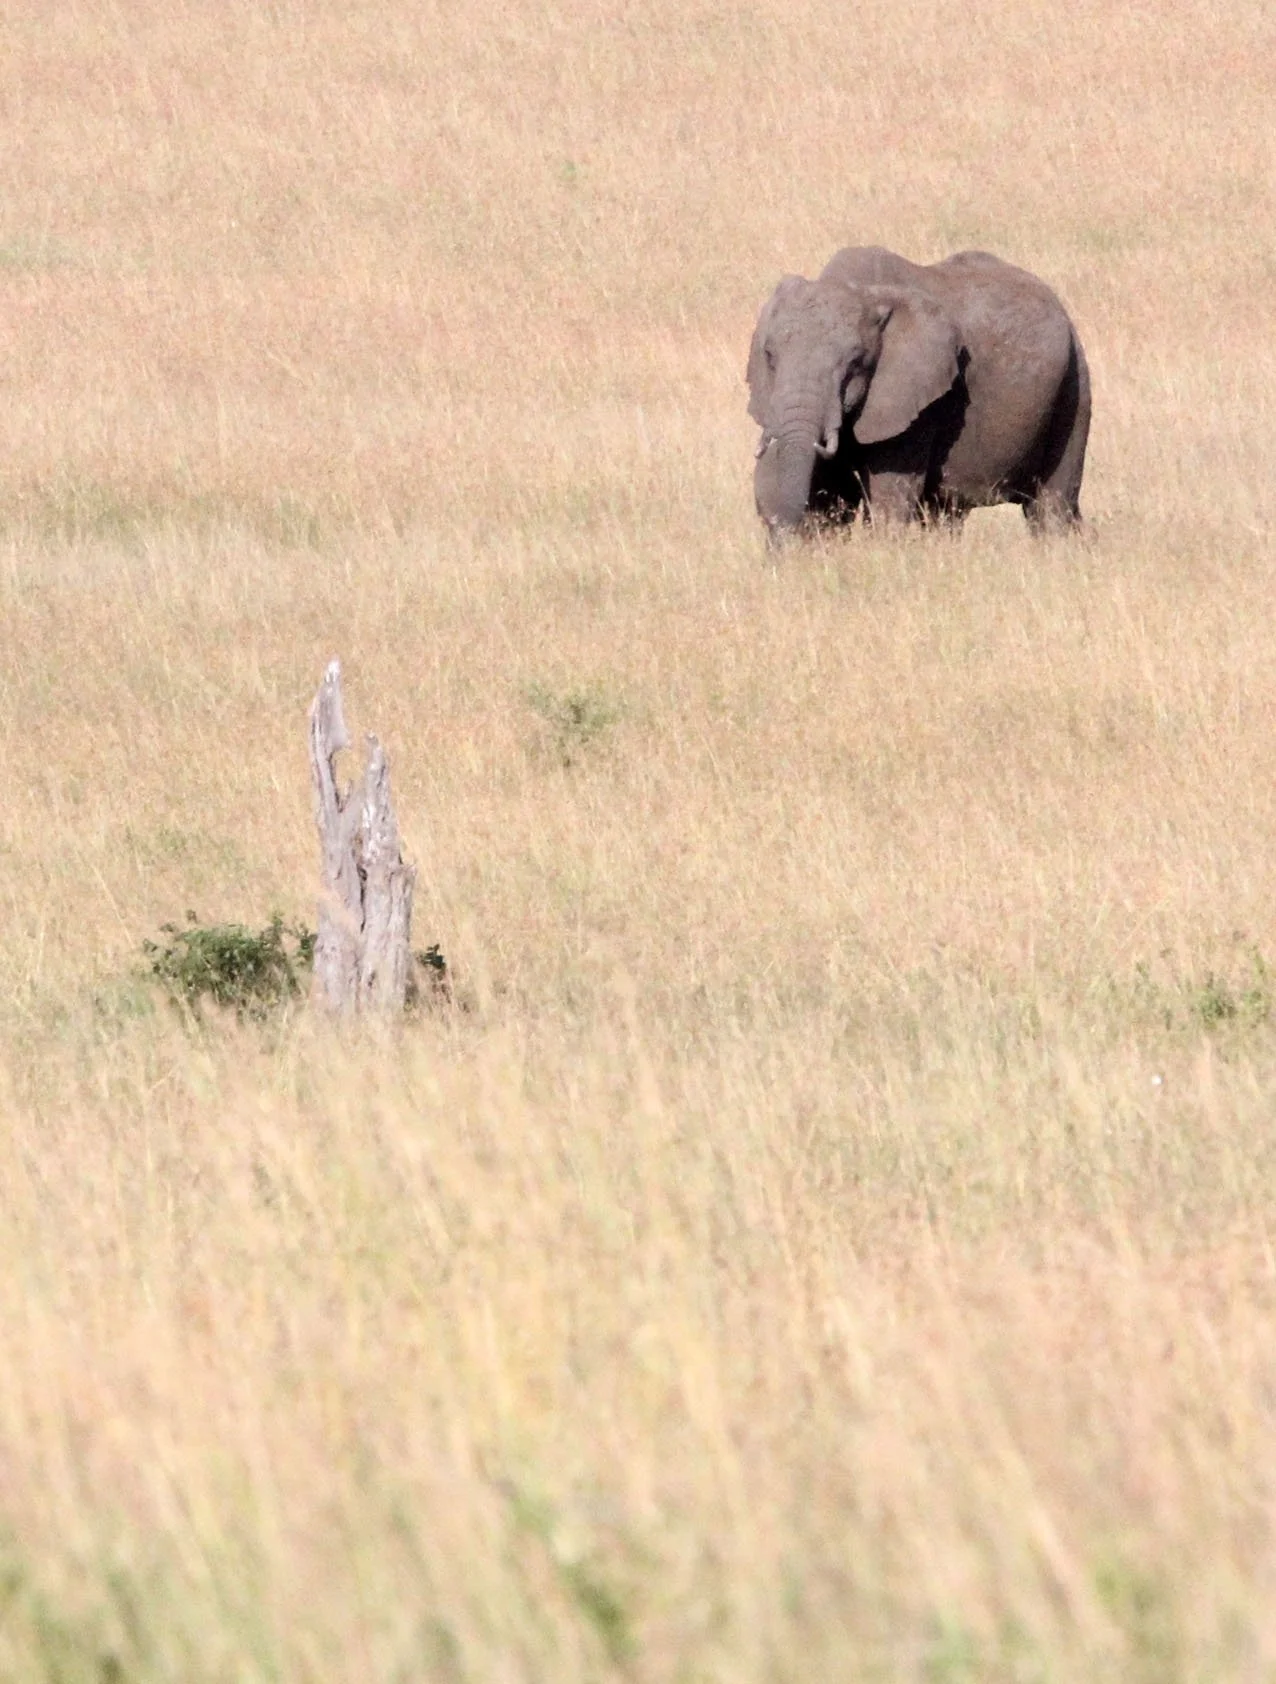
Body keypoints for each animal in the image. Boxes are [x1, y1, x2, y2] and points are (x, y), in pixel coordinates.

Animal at [746, 246, 1090, 538]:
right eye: (769, 356)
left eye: (855, 363)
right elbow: (830, 496)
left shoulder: (918, 402)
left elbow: (889, 497)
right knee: (946, 512)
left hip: (1073, 385)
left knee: (1051, 506)